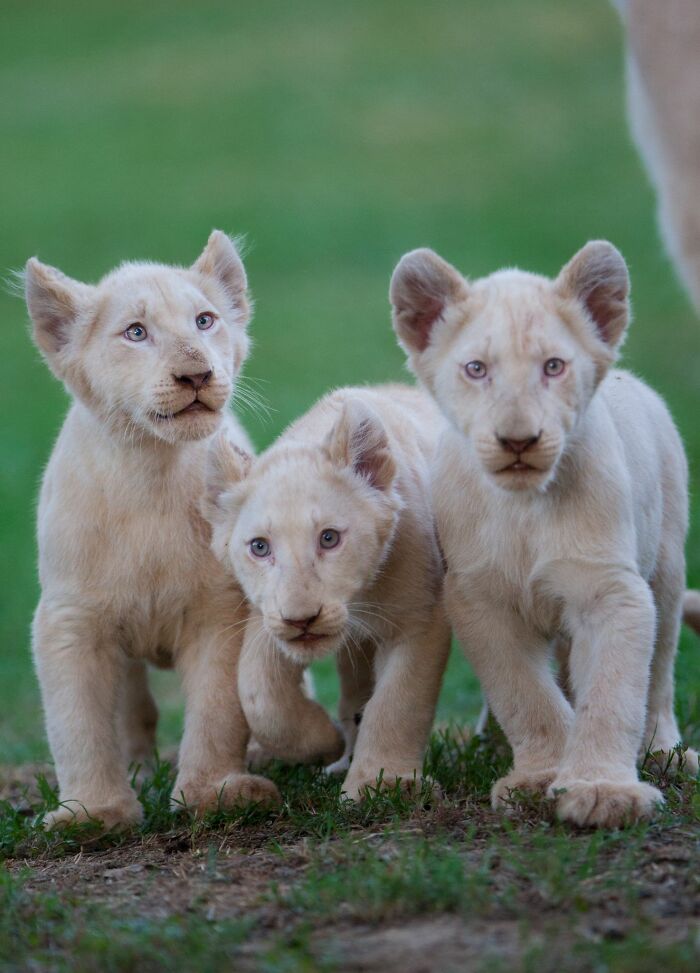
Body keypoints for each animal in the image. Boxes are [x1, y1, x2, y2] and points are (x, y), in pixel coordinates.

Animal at [25, 231, 280, 829]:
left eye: (205, 321)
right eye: (136, 332)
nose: (196, 374)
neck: (151, 471)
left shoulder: (220, 610)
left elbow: (218, 708)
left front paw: (214, 793)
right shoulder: (71, 619)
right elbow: (78, 722)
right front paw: (93, 814)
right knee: (132, 709)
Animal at [203, 385, 451, 800]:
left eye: (329, 538)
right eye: (260, 547)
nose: (302, 620)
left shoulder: (419, 617)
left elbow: (398, 703)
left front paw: (382, 784)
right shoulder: (267, 618)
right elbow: (259, 696)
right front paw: (325, 742)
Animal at [390, 239, 697, 827]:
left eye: (553, 366)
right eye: (477, 369)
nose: (518, 441)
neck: (524, 510)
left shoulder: (610, 590)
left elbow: (613, 693)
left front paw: (602, 790)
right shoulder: (479, 598)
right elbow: (524, 695)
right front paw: (540, 777)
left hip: (667, 573)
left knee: (660, 676)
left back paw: (663, 753)